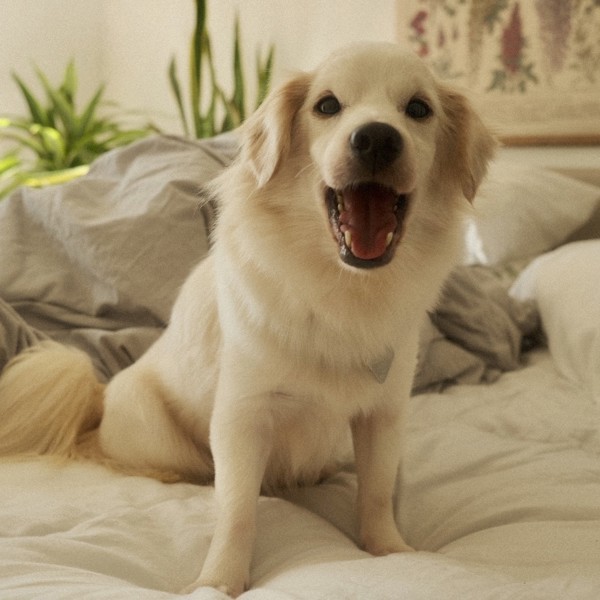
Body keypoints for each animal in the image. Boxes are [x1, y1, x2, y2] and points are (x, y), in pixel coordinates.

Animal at [0, 43, 494, 596]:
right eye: (327, 105)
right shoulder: (241, 416)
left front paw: (390, 549)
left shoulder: (382, 415)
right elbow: (237, 511)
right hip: (153, 426)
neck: (343, 292)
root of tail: (99, 398)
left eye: (418, 109)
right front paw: (219, 580)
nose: (376, 137)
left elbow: (377, 491)